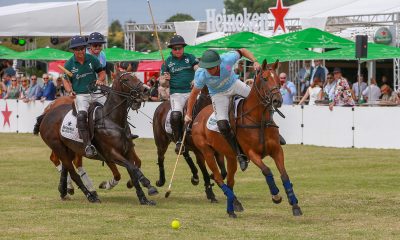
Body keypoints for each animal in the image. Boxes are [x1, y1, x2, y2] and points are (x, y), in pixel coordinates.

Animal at [36, 69, 158, 204]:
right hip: (58, 147)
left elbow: (134, 168)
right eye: (126, 79)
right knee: (72, 172)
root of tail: (46, 114)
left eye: (136, 76)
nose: (147, 89)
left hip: (69, 149)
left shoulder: (128, 151)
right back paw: (90, 196)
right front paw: (148, 185)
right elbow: (133, 168)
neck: (114, 121)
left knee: (66, 168)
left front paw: (143, 199)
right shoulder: (112, 154)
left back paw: (65, 191)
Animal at [192, 60, 302, 218]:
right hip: (207, 152)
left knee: (230, 181)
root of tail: (197, 117)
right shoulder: (251, 152)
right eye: (264, 79)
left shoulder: (277, 150)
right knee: (218, 178)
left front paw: (294, 204)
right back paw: (232, 203)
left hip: (231, 157)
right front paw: (275, 195)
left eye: (278, 80)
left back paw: (233, 207)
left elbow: (284, 175)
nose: (277, 101)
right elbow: (267, 170)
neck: (259, 119)